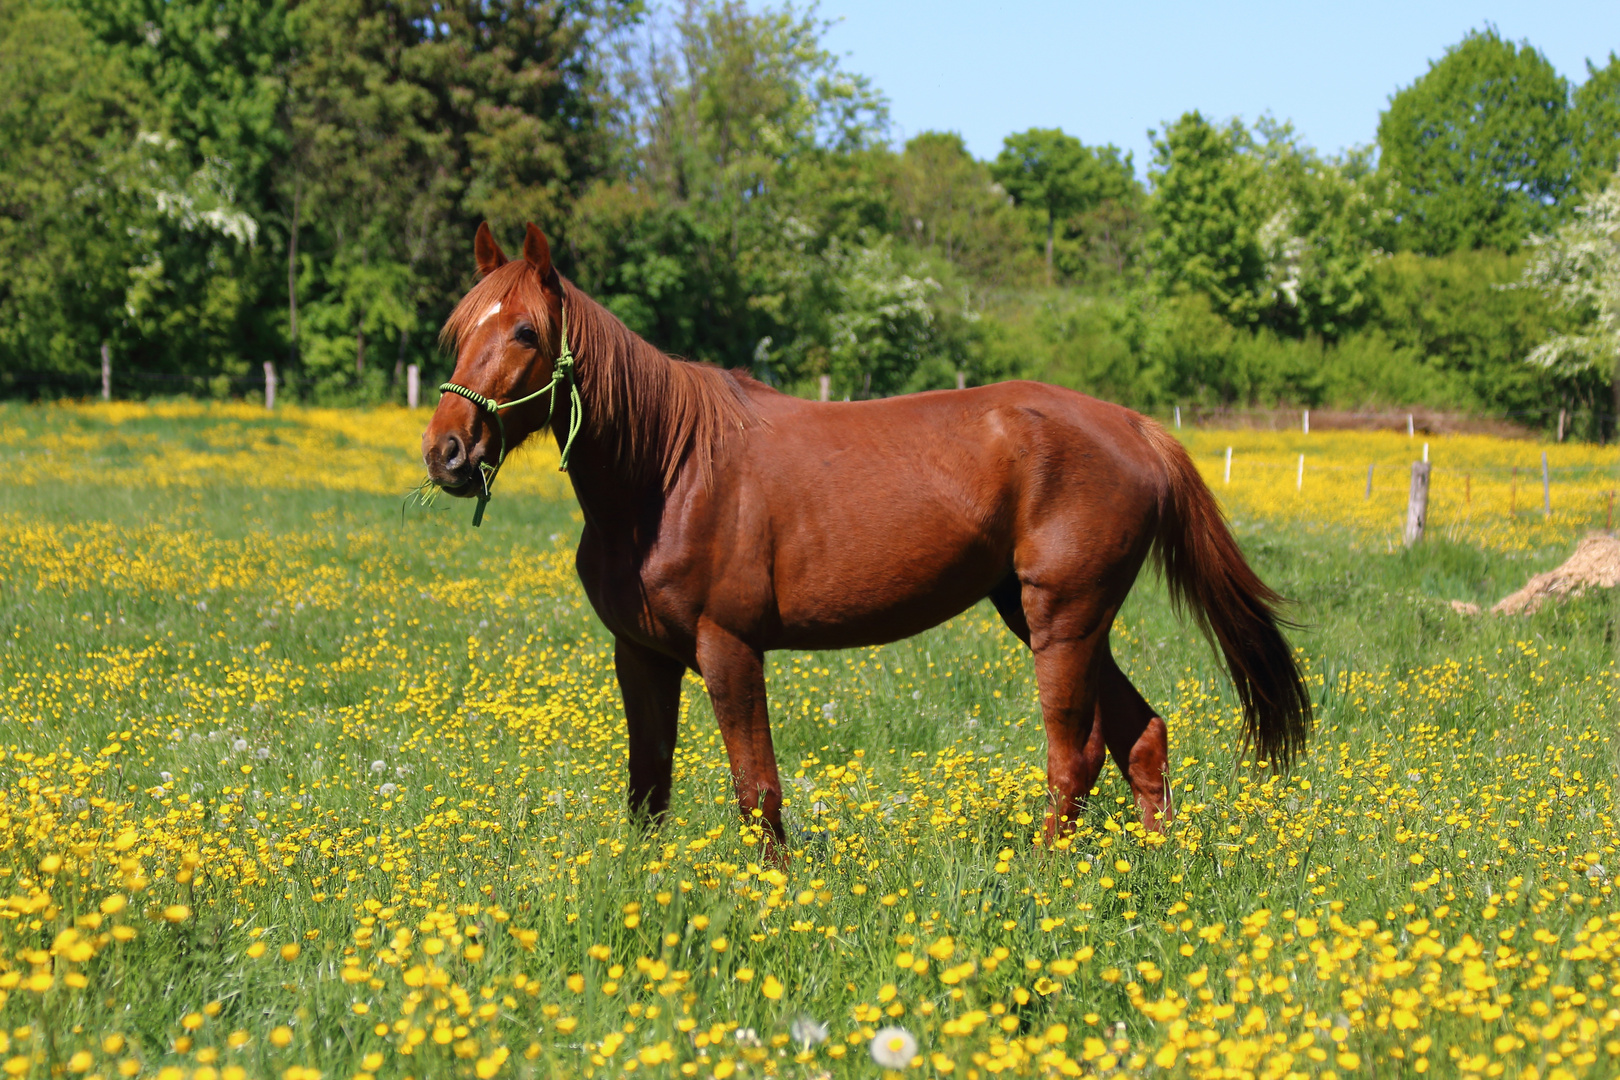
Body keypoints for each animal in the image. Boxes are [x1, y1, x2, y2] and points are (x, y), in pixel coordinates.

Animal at [424, 226, 1308, 841]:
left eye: (527, 333)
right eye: (458, 330)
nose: (447, 452)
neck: (668, 475)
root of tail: (1135, 428)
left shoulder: (729, 649)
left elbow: (757, 789)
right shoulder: (640, 655)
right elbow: (649, 787)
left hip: (1065, 620)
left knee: (1076, 756)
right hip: (1051, 619)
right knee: (1142, 738)